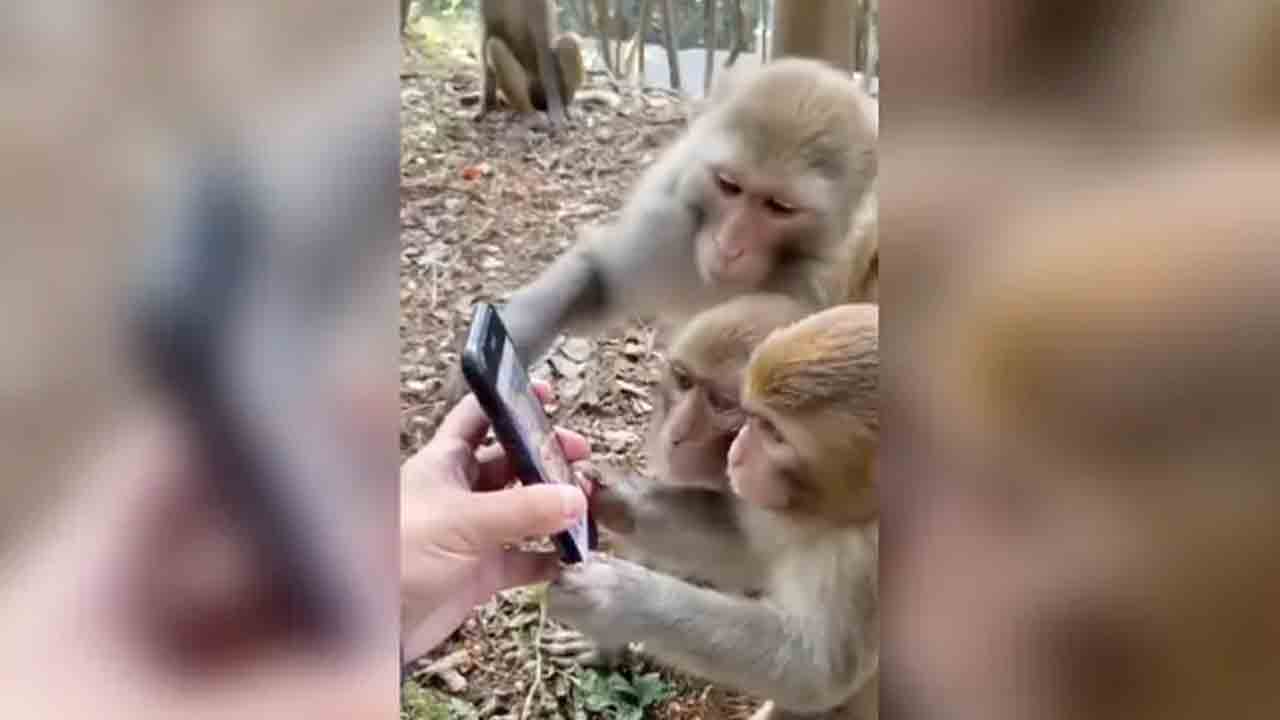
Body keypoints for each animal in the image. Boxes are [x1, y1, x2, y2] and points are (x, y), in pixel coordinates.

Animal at [477, 0, 584, 130]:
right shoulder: (487, 3)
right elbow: (489, 33)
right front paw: (487, 106)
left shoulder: (540, 4)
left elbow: (544, 47)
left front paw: (556, 113)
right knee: (495, 45)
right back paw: (528, 112)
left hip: (544, 90)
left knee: (568, 42)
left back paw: (564, 107)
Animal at [549, 303, 880, 719]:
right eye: (753, 419)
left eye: (773, 432)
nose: (737, 454)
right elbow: (745, 547)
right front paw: (607, 493)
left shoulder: (863, 562)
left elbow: (814, 673)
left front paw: (613, 598)